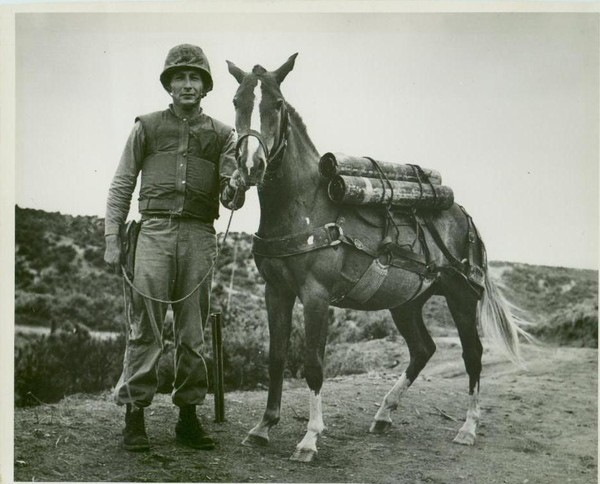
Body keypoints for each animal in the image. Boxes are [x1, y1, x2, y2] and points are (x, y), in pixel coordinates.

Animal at [226, 53, 528, 462]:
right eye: (236, 102)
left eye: (276, 104)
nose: (251, 166)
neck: (304, 206)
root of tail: (464, 215)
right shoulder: (276, 291)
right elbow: (275, 358)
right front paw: (263, 427)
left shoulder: (316, 295)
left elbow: (313, 364)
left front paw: (310, 438)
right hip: (406, 303)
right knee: (423, 349)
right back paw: (384, 413)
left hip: (461, 297)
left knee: (473, 354)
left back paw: (468, 427)